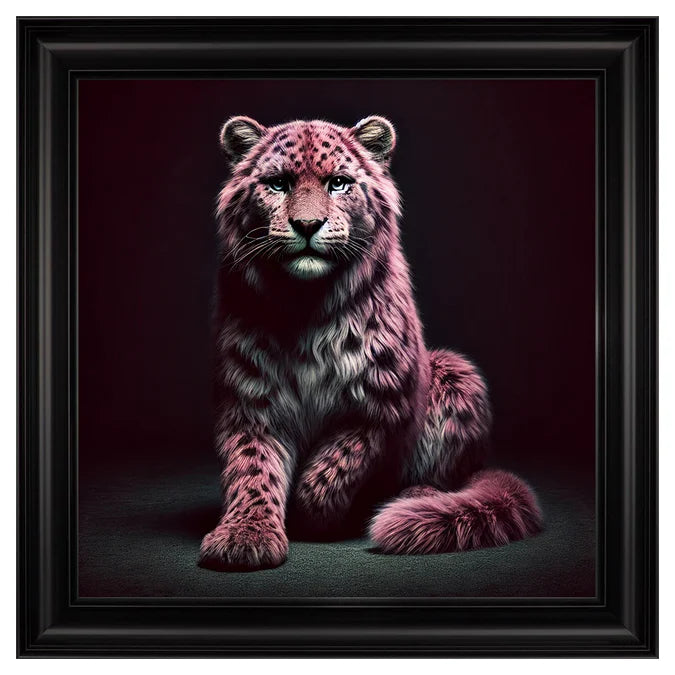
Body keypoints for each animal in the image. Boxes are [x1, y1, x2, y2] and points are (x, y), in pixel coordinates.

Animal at [198, 114, 542, 571]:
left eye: (338, 183)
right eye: (278, 184)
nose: (307, 226)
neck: (305, 308)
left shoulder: (383, 398)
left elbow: (336, 463)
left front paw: (315, 515)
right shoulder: (250, 401)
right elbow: (252, 470)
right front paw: (243, 537)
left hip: (456, 371)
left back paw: (416, 500)